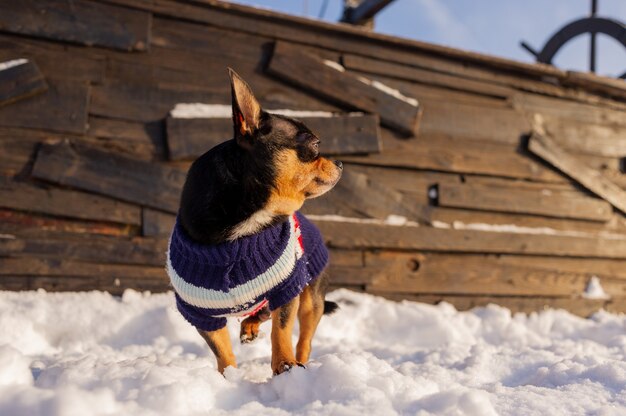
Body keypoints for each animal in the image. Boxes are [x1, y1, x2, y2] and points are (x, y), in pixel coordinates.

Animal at [166, 68, 342, 374]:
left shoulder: (287, 287)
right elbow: (221, 348)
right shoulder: (198, 311)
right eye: (315, 144)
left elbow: (281, 330)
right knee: (263, 312)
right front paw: (228, 375)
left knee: (303, 337)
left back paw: (300, 361)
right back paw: (250, 326)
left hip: (311, 299)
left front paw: (284, 364)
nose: (340, 163)